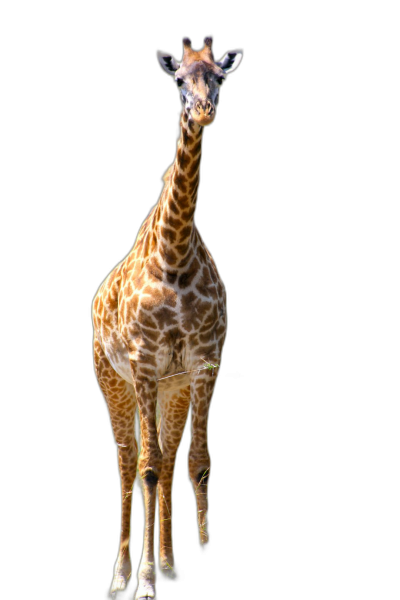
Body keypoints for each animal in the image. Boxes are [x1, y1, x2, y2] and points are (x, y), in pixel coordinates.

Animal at [92, 37, 242, 600]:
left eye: (219, 76)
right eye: (179, 80)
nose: (203, 111)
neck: (174, 254)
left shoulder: (203, 363)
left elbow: (197, 463)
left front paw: (188, 557)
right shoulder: (142, 362)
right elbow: (147, 467)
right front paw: (144, 582)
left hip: (168, 388)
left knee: (167, 455)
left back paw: (168, 563)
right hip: (113, 377)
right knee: (127, 459)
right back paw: (121, 575)